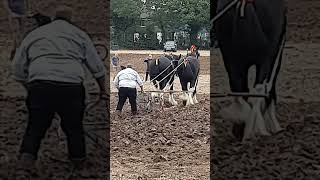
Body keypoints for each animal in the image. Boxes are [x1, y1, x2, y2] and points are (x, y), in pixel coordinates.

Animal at [214, 0, 286, 140]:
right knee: (257, 92)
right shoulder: (275, 57)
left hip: (232, 62)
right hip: (265, 60)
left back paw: (241, 130)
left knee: (240, 90)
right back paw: (255, 130)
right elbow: (270, 90)